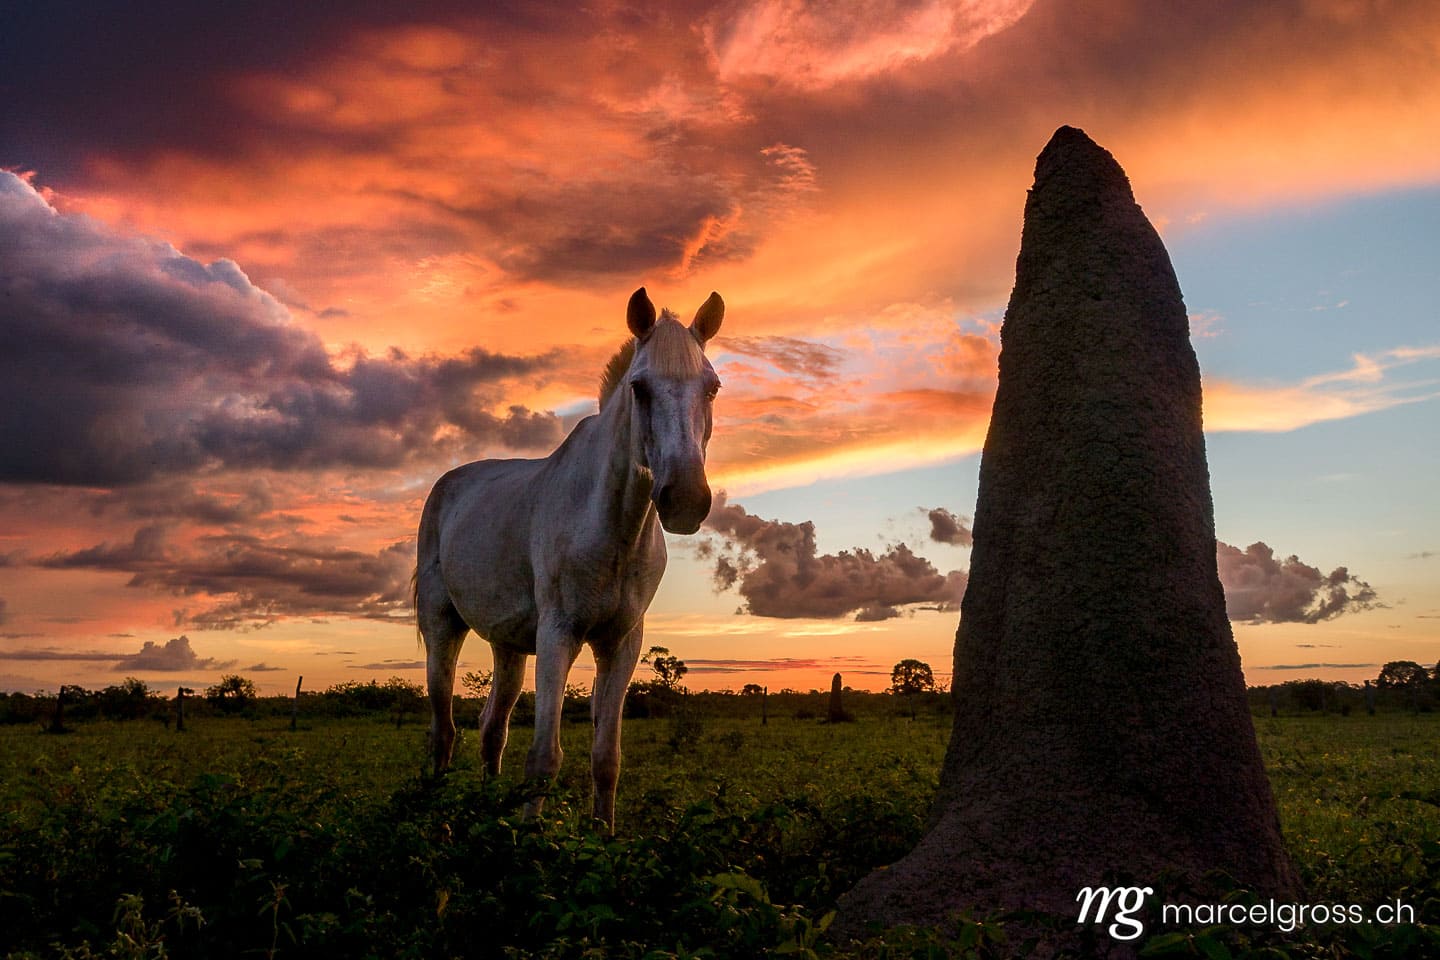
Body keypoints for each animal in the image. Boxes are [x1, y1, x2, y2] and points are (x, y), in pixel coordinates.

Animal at [413, 287, 724, 830]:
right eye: (639, 388)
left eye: (712, 388)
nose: (685, 498)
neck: (610, 526)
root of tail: (448, 485)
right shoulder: (559, 634)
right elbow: (544, 758)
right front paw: (529, 837)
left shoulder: (620, 643)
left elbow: (606, 758)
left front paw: (603, 836)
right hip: (442, 630)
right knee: (444, 731)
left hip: (509, 646)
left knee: (491, 729)